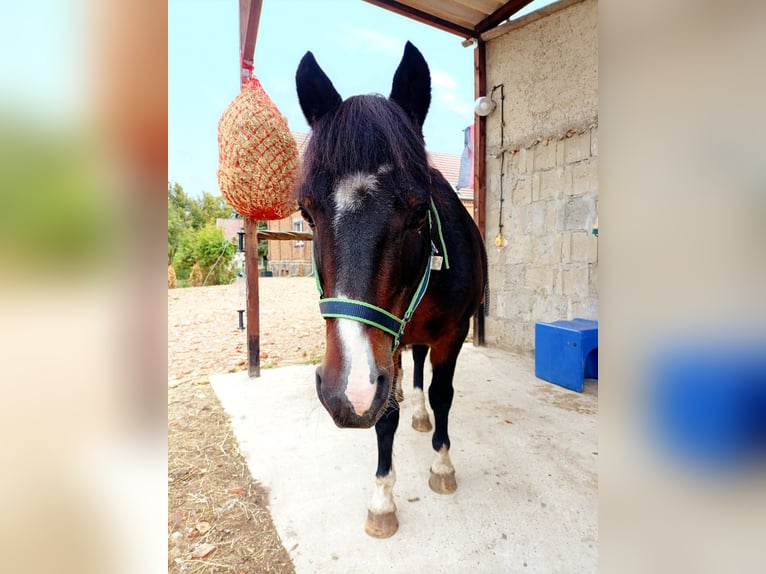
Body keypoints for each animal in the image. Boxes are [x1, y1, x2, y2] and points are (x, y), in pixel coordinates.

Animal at [294, 41, 486, 540]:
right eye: (306, 212)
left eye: (420, 213)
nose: (347, 393)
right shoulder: (386, 351)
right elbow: (386, 417)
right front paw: (382, 498)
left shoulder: (454, 334)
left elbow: (442, 394)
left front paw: (442, 464)